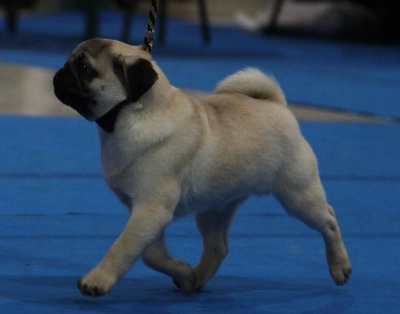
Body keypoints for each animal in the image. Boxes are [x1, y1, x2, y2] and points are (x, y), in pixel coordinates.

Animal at [52, 38, 350, 296]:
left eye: (84, 68)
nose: (59, 73)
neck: (129, 117)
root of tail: (277, 105)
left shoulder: (151, 209)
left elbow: (122, 247)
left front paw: (97, 280)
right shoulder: (146, 213)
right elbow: (151, 254)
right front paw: (183, 271)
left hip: (297, 194)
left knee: (329, 218)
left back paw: (340, 267)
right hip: (213, 209)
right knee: (218, 247)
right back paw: (197, 278)